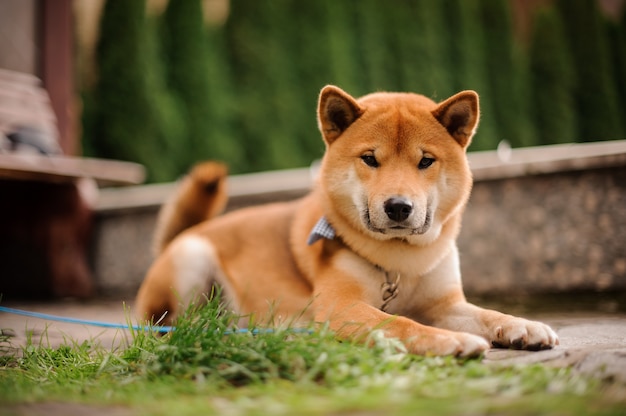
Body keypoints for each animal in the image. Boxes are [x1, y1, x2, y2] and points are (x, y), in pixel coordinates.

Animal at [136, 85, 556, 358]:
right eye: (370, 158)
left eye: (425, 160)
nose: (399, 207)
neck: (400, 263)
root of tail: (186, 233)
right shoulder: (341, 307)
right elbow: (400, 323)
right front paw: (448, 341)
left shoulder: (445, 304)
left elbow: (487, 314)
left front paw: (522, 325)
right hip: (191, 260)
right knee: (166, 323)